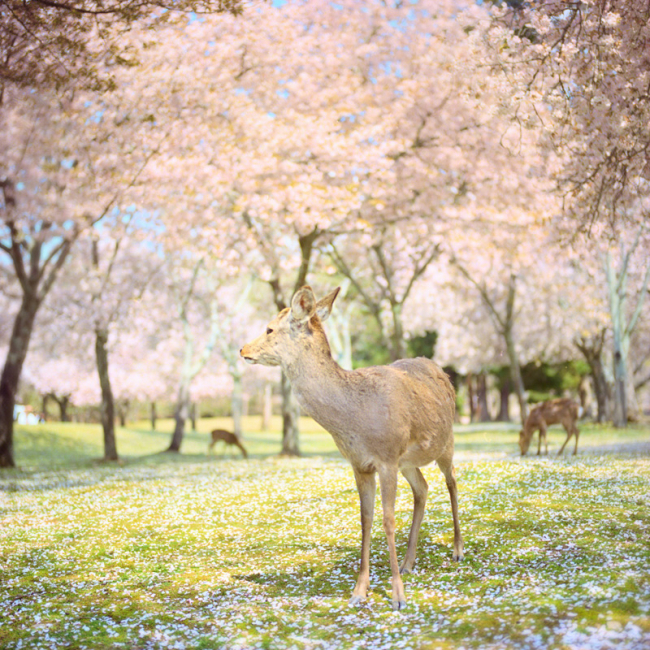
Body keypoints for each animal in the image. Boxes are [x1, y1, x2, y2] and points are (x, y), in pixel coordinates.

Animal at [239, 284, 460, 608]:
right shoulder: (360, 464)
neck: (355, 421)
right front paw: (359, 591)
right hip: (409, 461)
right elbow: (365, 520)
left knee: (452, 481)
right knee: (422, 488)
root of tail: (439, 368)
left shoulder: (387, 457)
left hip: (446, 441)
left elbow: (388, 520)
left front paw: (397, 596)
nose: (243, 349)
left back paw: (457, 550)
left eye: (269, 328)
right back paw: (409, 563)